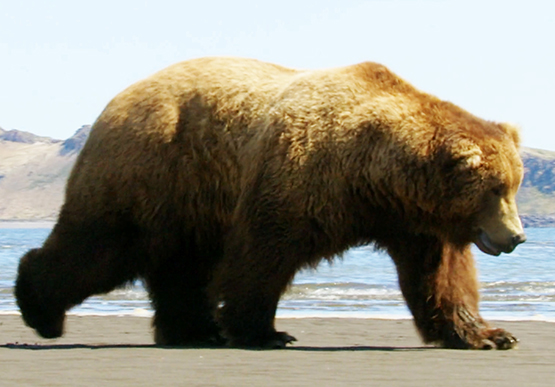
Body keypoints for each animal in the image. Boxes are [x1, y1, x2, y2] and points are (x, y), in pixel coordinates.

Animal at [14, 57, 524, 352]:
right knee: (103, 244)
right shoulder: (300, 176)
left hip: (191, 198)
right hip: (154, 169)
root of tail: (118, 98)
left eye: (513, 184)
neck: (374, 176)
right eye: (496, 188)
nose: (516, 237)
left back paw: (193, 331)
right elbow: (263, 252)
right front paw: (265, 331)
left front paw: (489, 334)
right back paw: (40, 309)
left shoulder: (416, 220)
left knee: (181, 263)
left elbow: (441, 278)